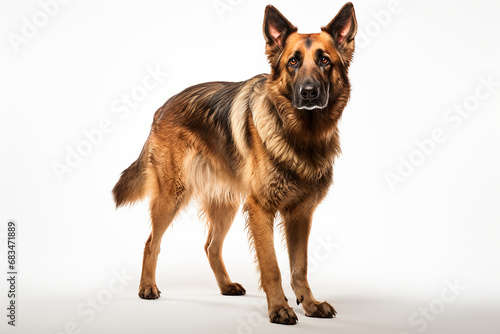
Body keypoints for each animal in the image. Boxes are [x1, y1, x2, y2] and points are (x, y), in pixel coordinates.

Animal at [113, 2, 356, 324]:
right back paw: (147, 287)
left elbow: (299, 267)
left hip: (225, 203)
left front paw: (310, 304)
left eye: (325, 61)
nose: (308, 93)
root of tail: (162, 107)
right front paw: (279, 308)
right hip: (172, 196)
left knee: (210, 246)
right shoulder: (260, 208)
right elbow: (272, 266)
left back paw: (225, 285)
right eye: (293, 62)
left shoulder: (300, 214)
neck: (301, 134)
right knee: (151, 242)